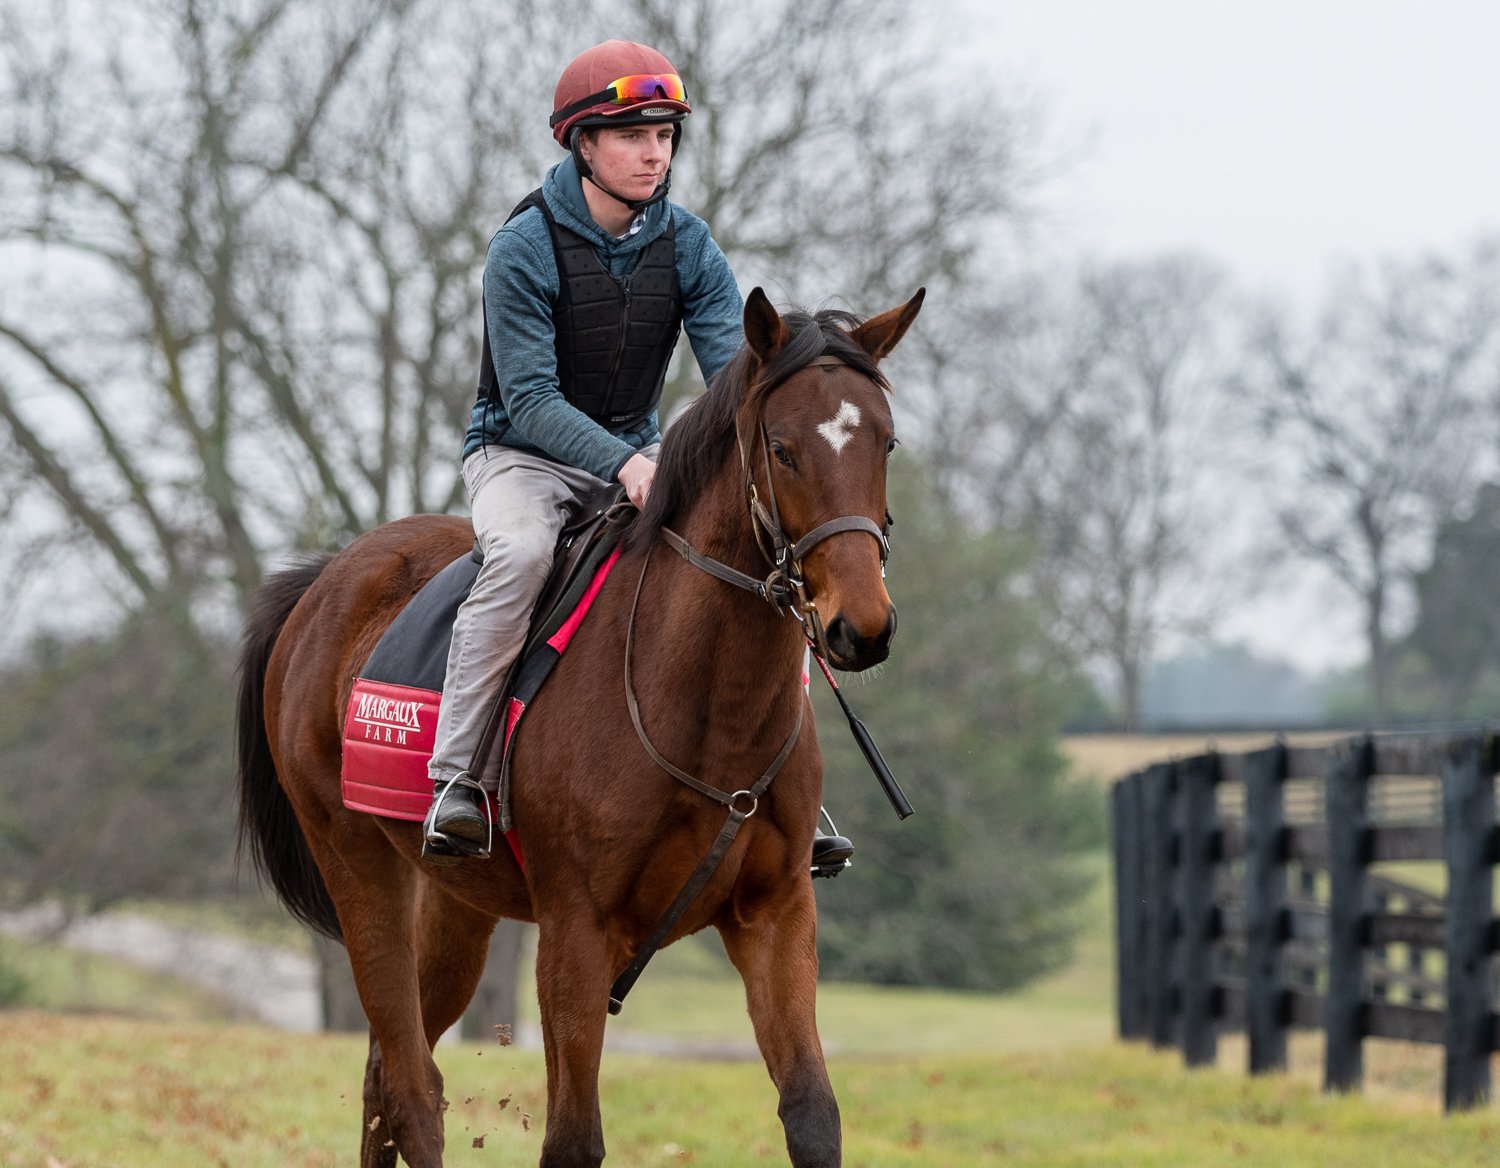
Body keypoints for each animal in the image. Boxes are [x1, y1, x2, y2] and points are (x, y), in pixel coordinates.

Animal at [234, 284, 918, 1168]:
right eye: (782, 446)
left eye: (885, 441)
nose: (859, 628)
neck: (705, 713)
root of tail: (324, 582)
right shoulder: (576, 933)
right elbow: (572, 1138)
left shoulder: (774, 914)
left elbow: (812, 1114)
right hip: (358, 865)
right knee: (412, 1087)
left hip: (456, 905)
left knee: (388, 1073)